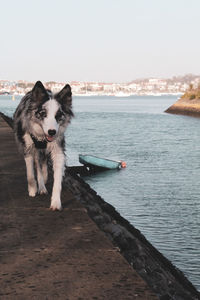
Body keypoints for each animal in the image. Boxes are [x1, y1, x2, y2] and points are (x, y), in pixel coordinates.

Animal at [13, 81, 74, 210]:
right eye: (43, 114)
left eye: (58, 115)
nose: (52, 132)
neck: (42, 136)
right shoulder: (28, 147)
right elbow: (31, 173)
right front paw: (32, 189)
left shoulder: (58, 148)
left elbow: (57, 179)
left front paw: (55, 202)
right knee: (38, 165)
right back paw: (40, 187)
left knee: (43, 163)